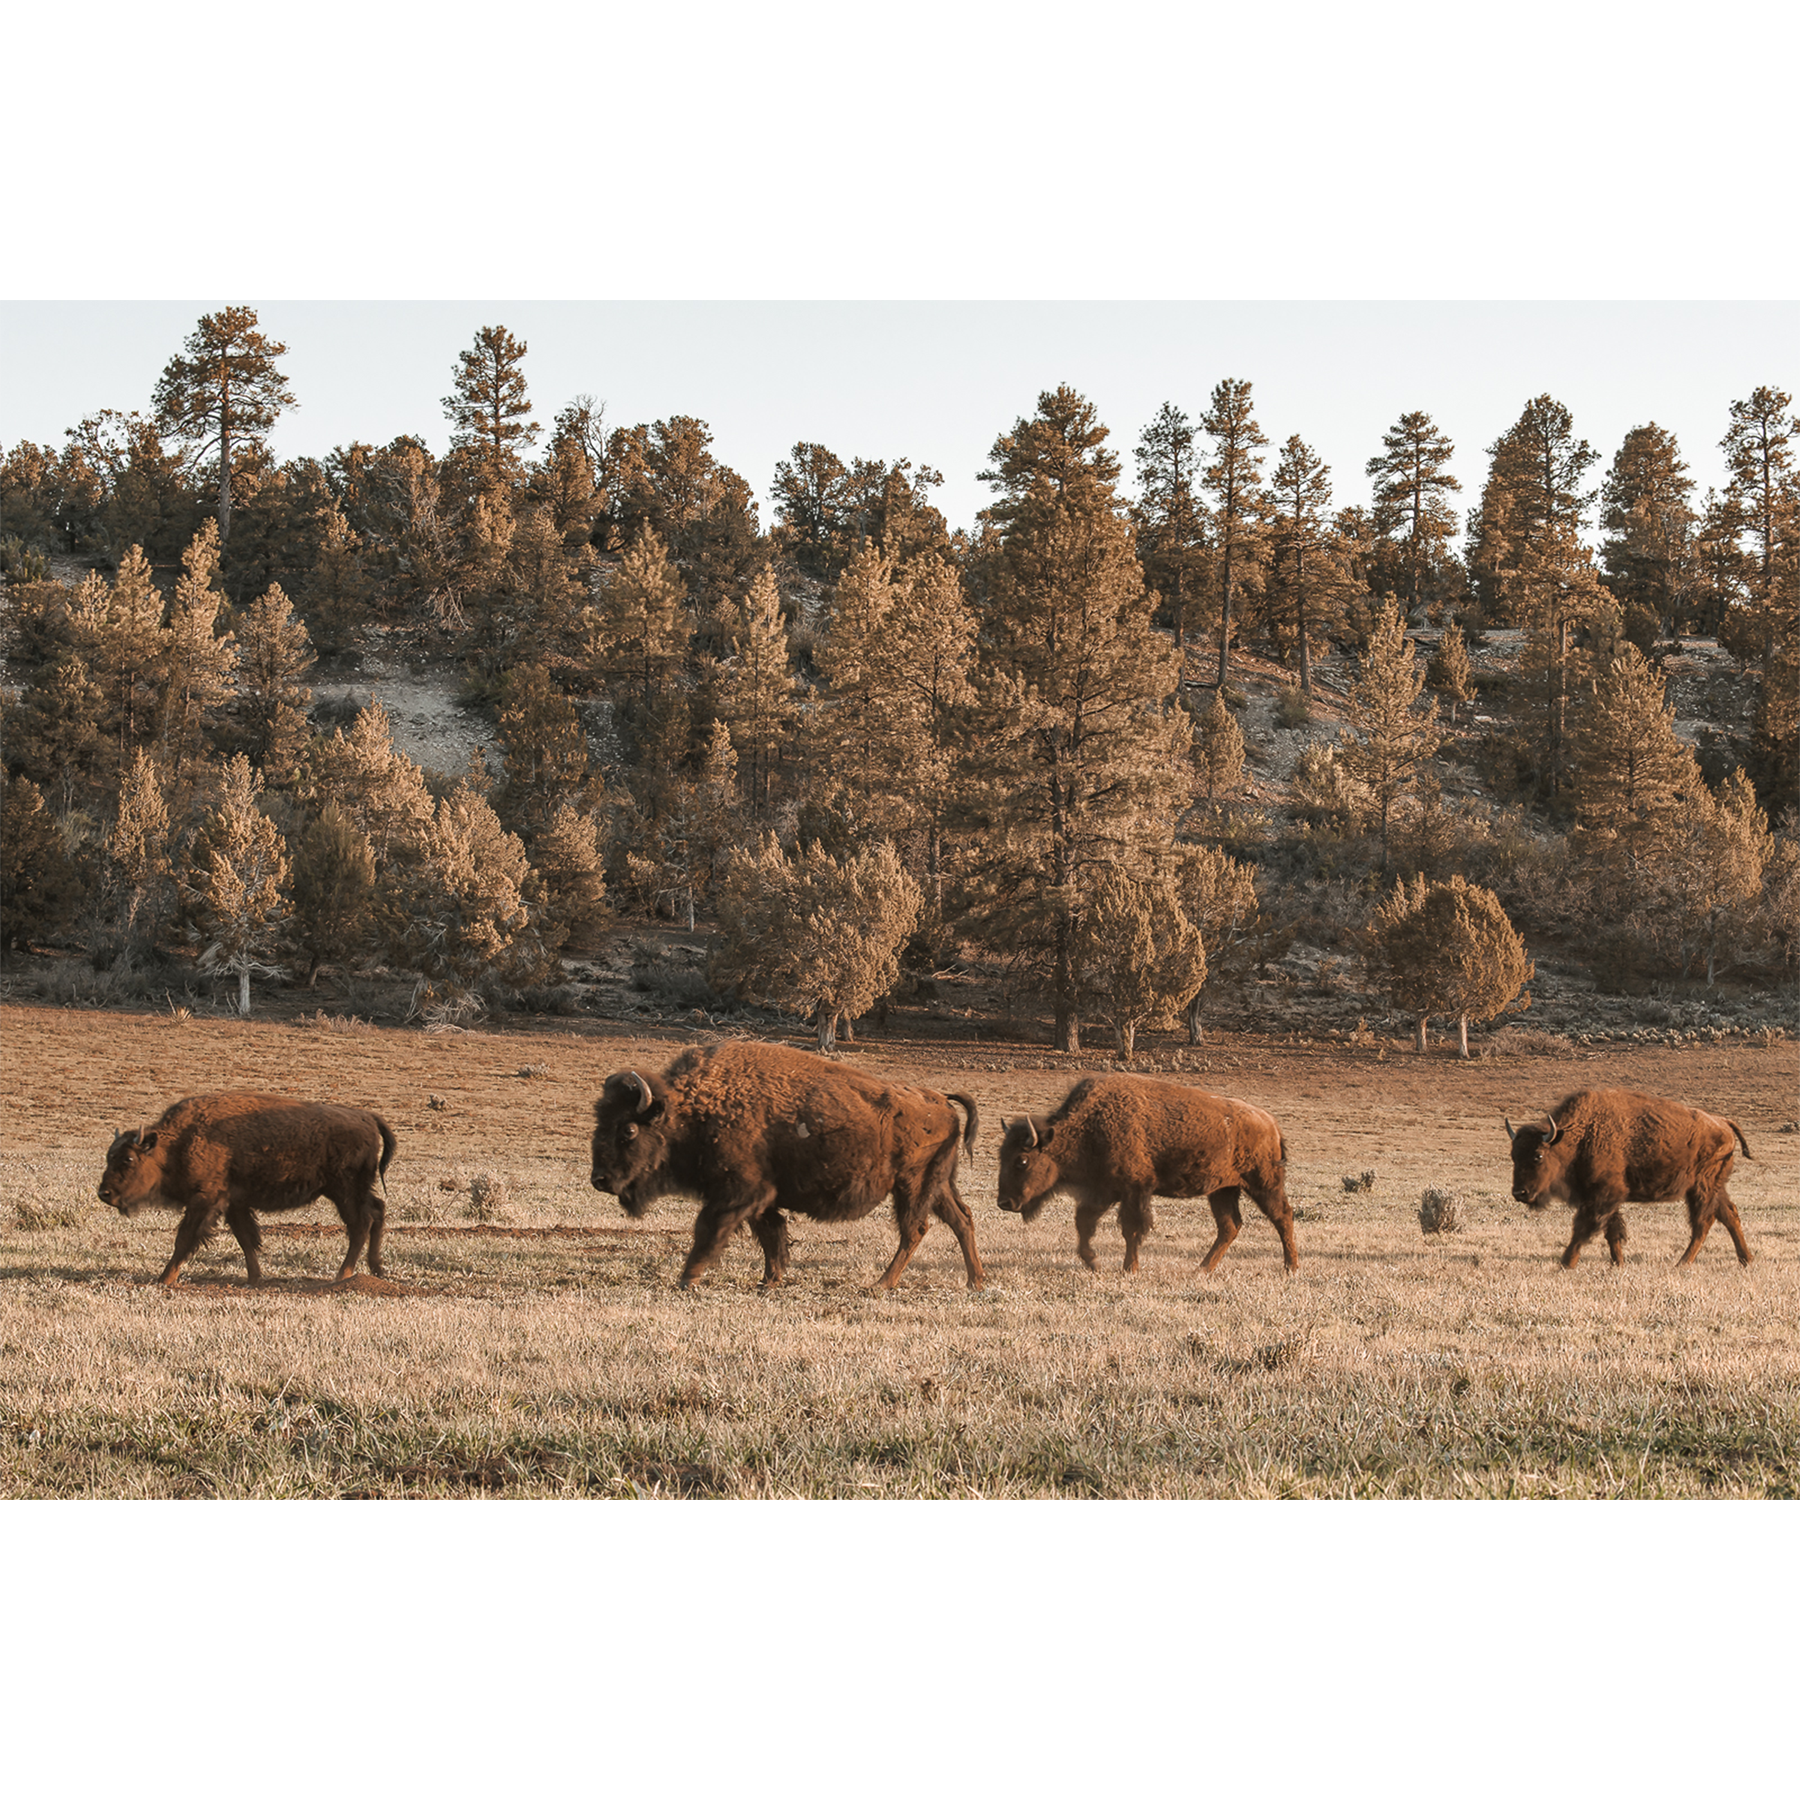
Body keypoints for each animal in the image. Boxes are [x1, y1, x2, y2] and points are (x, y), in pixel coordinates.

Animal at [97, 1093, 397, 1287]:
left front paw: (164, 1279)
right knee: (376, 1211)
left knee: (360, 1224)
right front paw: (254, 1278)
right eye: (109, 1156)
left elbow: (185, 1239)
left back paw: (343, 1275)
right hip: (351, 1191)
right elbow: (246, 1239)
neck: (176, 1144)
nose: (104, 1193)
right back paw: (375, 1269)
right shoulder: (234, 1203)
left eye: (128, 1159)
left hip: (344, 1191)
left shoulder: (205, 1200)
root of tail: (367, 1116)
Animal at [590, 1041, 984, 1291]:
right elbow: (771, 1234)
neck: (692, 1110)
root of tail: (941, 1100)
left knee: (915, 1230)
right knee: (961, 1219)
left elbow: (709, 1228)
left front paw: (689, 1277)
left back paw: (881, 1284)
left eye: (627, 1130)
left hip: (912, 1185)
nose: (599, 1179)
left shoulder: (739, 1192)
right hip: (939, 1184)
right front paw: (770, 1280)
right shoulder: (761, 1197)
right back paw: (975, 1281)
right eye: (600, 1121)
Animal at [996, 1074, 1297, 1273]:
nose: (1004, 1202)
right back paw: (1201, 1269)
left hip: (1263, 1184)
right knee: (1229, 1226)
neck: (1087, 1127)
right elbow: (1084, 1224)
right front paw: (1093, 1262)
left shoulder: (1135, 1190)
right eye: (1001, 1155)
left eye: (1022, 1160)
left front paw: (1130, 1268)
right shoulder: (1102, 1192)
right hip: (1222, 1190)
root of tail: (1270, 1123)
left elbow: (1131, 1229)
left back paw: (1290, 1267)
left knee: (1282, 1216)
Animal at [1505, 1088, 1754, 1268]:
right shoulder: (1602, 1196)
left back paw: (1682, 1263)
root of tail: (1722, 1122)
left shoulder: (1604, 1194)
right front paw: (1618, 1263)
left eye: (1538, 1156)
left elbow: (1584, 1228)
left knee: (1703, 1222)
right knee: (1729, 1214)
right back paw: (1745, 1260)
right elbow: (1612, 1231)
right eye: (1513, 1156)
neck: (1581, 1134)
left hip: (1701, 1187)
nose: (1519, 1192)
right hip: (1715, 1186)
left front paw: (1566, 1263)